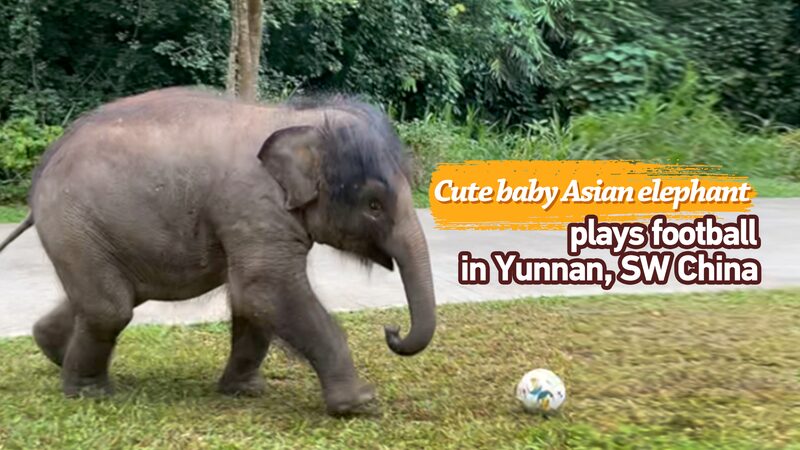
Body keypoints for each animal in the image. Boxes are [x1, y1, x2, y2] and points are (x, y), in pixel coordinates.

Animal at [0, 87, 436, 415]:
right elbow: (265, 288)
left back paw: (54, 352)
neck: (297, 119)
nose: (392, 330)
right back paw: (90, 392)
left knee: (104, 300)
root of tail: (42, 174)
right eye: (374, 205)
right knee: (111, 308)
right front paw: (361, 404)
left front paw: (245, 390)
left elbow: (252, 301)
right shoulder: (254, 204)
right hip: (74, 223)